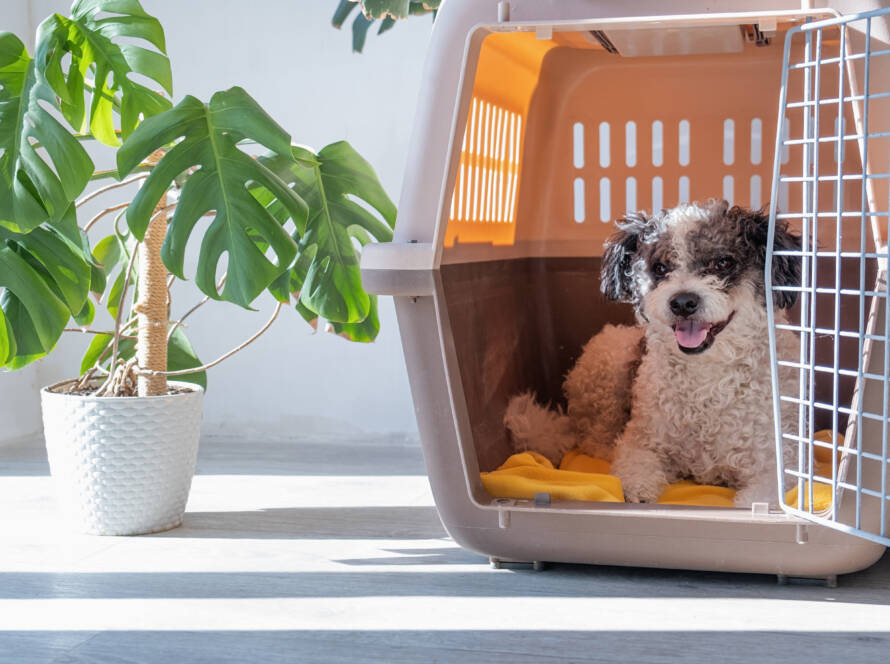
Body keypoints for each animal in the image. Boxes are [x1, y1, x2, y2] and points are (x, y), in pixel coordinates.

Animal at [502, 200, 800, 506]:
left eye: (723, 262)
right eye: (660, 267)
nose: (682, 302)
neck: (706, 376)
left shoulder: (777, 465)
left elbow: (762, 499)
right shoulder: (642, 443)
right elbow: (634, 471)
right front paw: (640, 491)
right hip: (607, 371)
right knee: (594, 438)